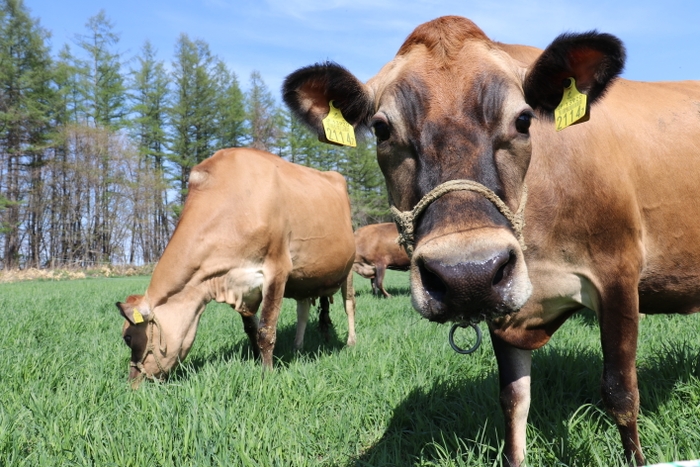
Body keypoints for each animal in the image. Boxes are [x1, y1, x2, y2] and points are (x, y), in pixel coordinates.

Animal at [116, 149, 356, 388]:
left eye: (128, 338)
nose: (132, 384)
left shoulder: (277, 270)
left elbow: (266, 330)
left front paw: (266, 375)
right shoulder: (238, 283)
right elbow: (251, 328)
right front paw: (257, 359)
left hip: (349, 267)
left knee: (349, 305)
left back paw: (351, 342)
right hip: (307, 276)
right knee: (304, 310)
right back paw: (298, 347)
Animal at [282, 15, 700, 467]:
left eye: (523, 120)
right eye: (381, 129)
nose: (466, 274)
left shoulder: (618, 275)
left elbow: (621, 393)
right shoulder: (503, 305)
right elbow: (513, 400)